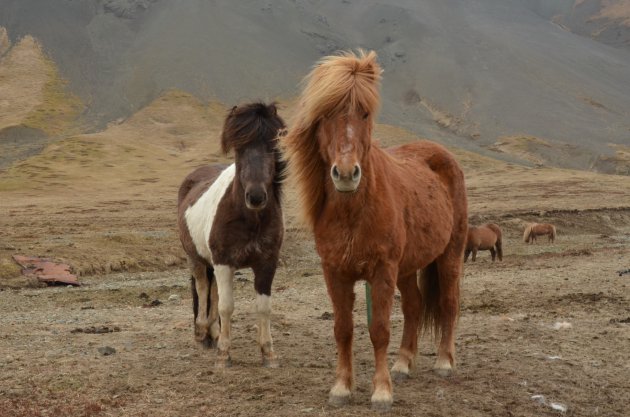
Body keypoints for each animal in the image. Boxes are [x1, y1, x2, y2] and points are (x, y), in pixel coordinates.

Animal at [178, 102, 286, 366]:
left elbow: (263, 307)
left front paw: (268, 352)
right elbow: (226, 307)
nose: (256, 196)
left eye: (272, 147)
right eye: (239, 149)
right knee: (203, 288)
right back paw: (202, 333)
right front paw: (224, 354)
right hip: (197, 259)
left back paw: (214, 334)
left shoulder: (267, 263)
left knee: (213, 293)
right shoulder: (224, 262)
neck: (250, 219)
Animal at [284, 51, 472, 410]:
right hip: (408, 267)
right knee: (414, 306)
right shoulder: (335, 272)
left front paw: (382, 391)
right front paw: (342, 388)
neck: (352, 213)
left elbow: (380, 329)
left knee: (449, 303)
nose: (346, 174)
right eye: (325, 114)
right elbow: (343, 329)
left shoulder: (382, 271)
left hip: (449, 255)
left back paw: (444, 362)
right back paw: (403, 364)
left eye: (365, 113)